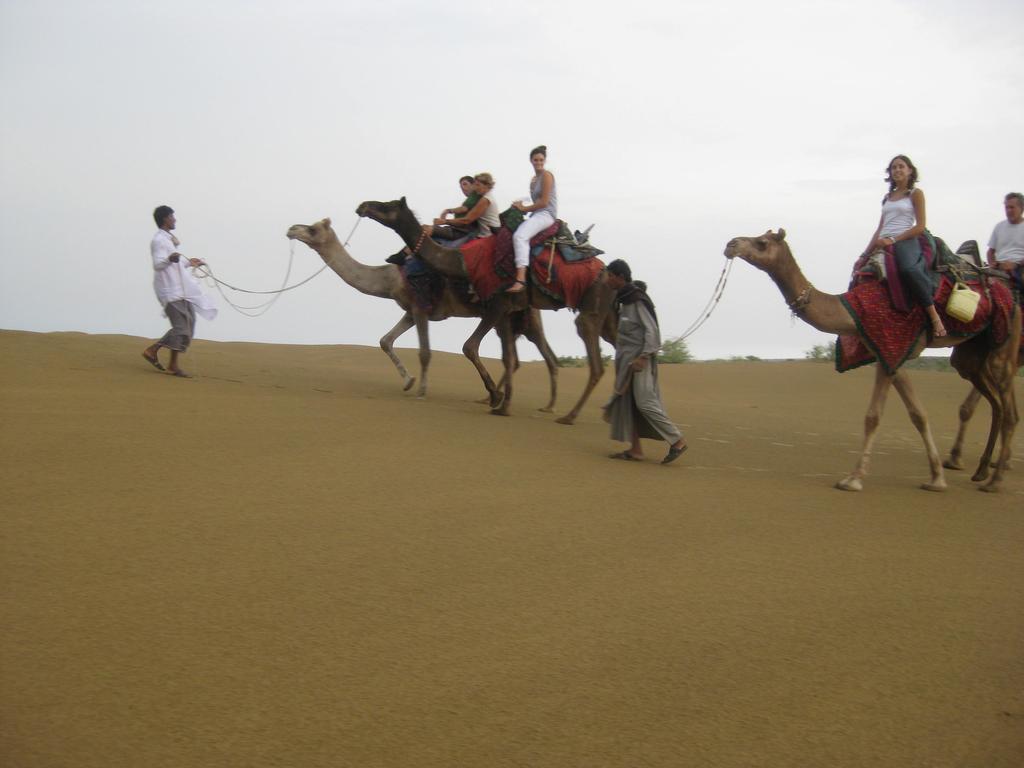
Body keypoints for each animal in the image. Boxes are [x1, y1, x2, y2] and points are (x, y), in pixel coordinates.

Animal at [286, 219, 561, 411]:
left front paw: (421, 391)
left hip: (526, 317)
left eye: (312, 229)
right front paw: (408, 381)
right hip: (512, 317)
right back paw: (491, 398)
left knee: (545, 355)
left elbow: (425, 352)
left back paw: (548, 406)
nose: (291, 229)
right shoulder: (410, 311)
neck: (391, 278)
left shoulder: (421, 308)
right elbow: (385, 341)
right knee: (518, 358)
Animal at [356, 198, 618, 428]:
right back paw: (604, 414)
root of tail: (607, 273)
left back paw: (570, 416)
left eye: (388, 205)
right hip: (604, 316)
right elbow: (507, 358)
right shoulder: (505, 312)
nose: (363, 206)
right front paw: (503, 405)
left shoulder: (497, 304)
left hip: (589, 308)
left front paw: (495, 397)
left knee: (595, 363)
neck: (464, 261)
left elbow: (470, 347)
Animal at [724, 228, 1019, 493]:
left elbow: (874, 416)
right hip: (973, 355)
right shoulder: (889, 355)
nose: (731, 244)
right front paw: (936, 479)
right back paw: (981, 472)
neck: (853, 309)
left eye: (762, 242)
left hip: (1005, 345)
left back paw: (995, 481)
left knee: (1010, 411)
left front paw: (852, 479)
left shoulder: (893, 346)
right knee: (996, 404)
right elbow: (918, 414)